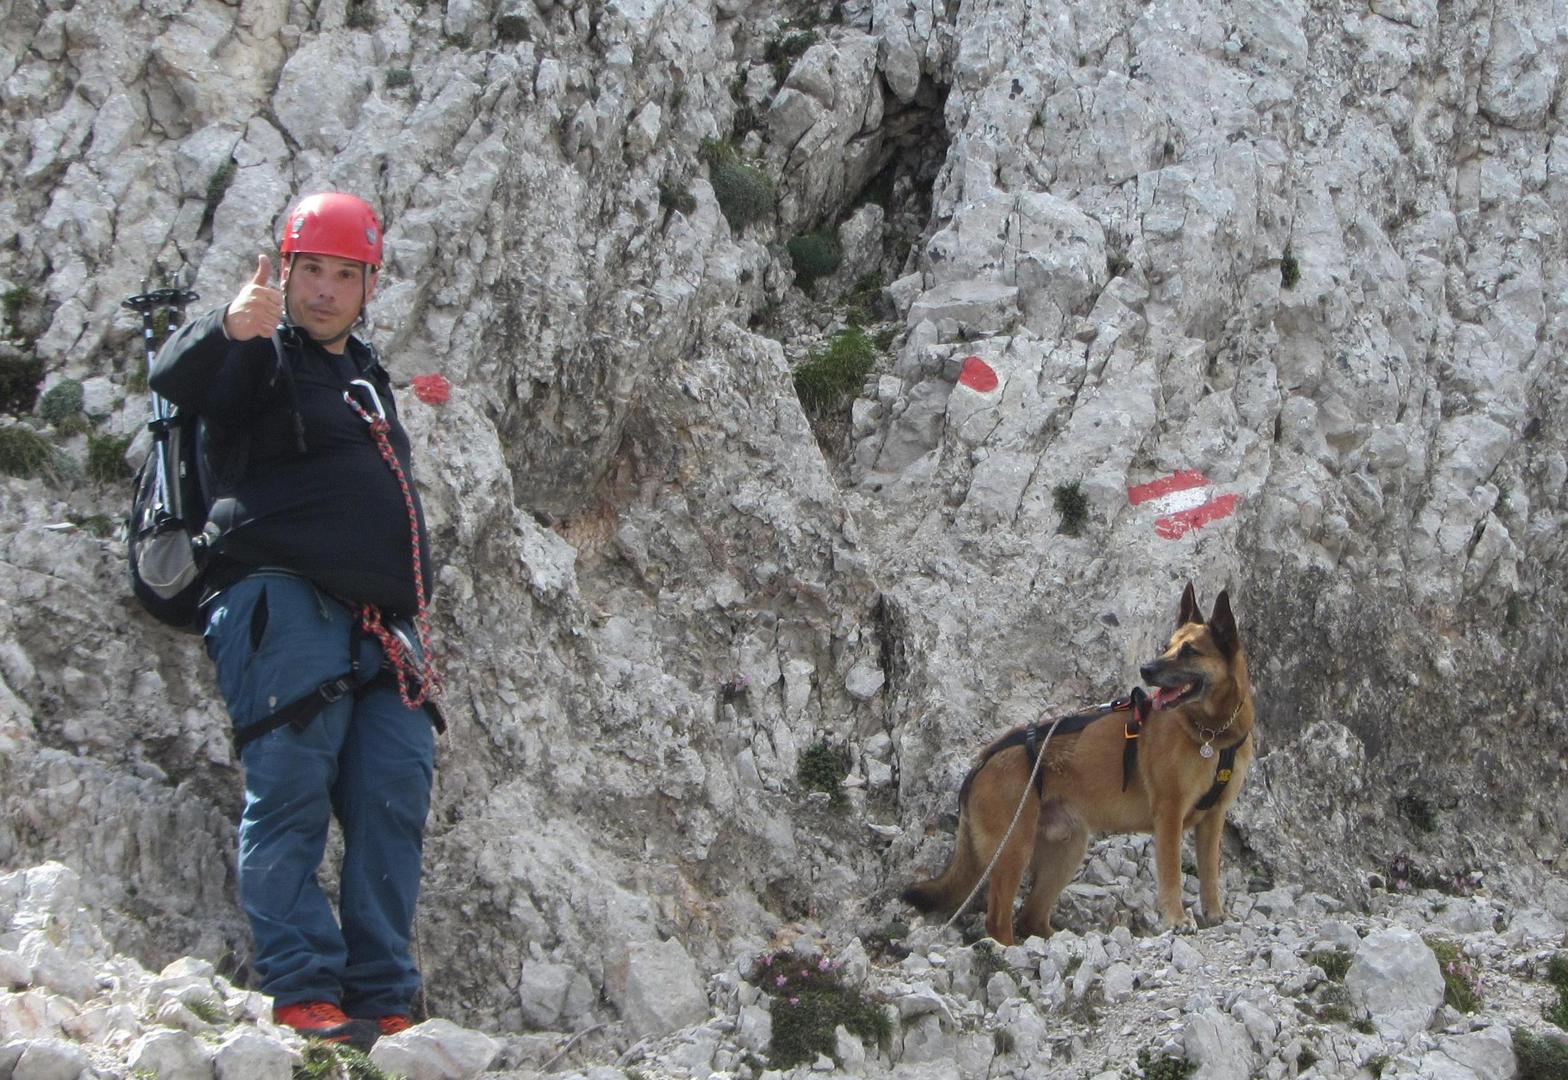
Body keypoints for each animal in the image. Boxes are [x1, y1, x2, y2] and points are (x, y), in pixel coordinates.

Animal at [902, 583, 1256, 944]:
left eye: (1189, 651)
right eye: (1167, 647)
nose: (1146, 669)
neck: (1213, 734)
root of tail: (984, 759)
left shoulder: (1213, 818)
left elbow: (1210, 873)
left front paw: (1215, 914)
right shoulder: (1169, 814)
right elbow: (1171, 873)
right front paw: (1177, 919)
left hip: (1065, 851)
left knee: (1031, 917)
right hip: (1014, 850)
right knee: (999, 921)